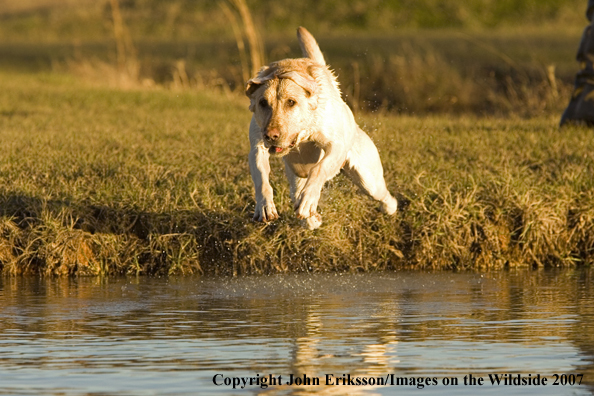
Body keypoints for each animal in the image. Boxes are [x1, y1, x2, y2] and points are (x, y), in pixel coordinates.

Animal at [243, 26, 396, 229]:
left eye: (291, 102)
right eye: (262, 103)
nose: (270, 135)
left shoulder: (335, 146)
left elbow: (319, 169)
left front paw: (309, 200)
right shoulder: (257, 148)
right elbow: (261, 179)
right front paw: (265, 206)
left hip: (368, 179)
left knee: (383, 194)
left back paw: (389, 207)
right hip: (295, 175)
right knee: (298, 196)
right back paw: (311, 218)